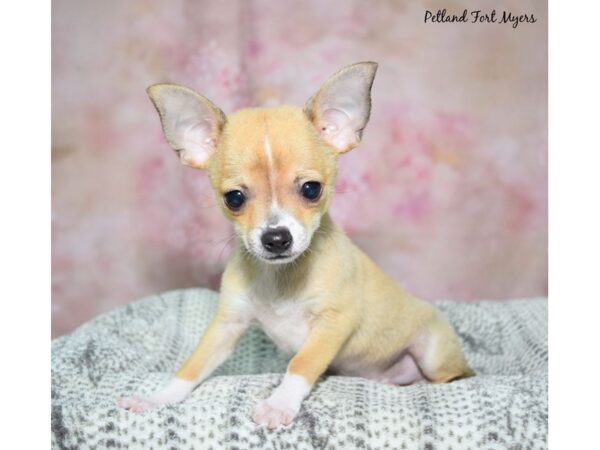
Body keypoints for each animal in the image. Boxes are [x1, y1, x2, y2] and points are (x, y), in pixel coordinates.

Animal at [117, 61, 474, 428]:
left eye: (311, 189)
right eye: (234, 198)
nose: (276, 238)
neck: (281, 278)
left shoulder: (334, 322)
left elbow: (301, 365)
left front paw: (279, 404)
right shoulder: (226, 325)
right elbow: (191, 366)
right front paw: (157, 397)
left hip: (433, 354)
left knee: (456, 375)